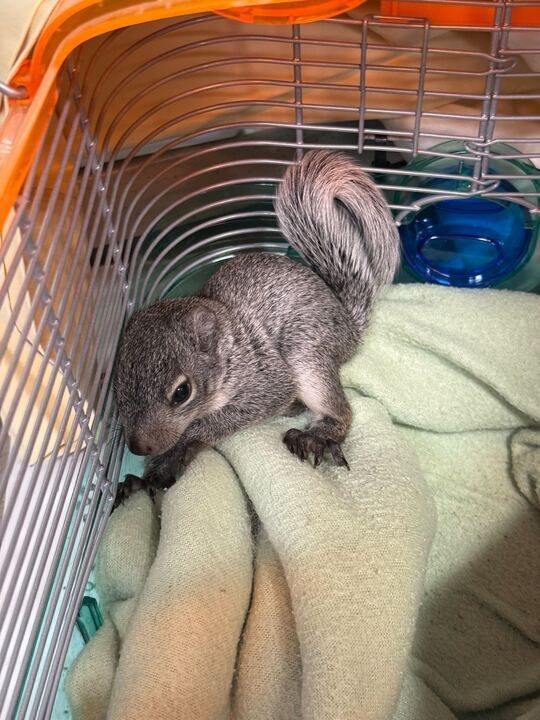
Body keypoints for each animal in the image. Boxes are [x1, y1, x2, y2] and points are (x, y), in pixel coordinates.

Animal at [113, 150, 400, 503]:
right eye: (117, 385)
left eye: (182, 392)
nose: (139, 447)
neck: (227, 344)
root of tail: (348, 324)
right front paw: (143, 479)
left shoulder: (264, 378)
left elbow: (247, 407)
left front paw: (186, 444)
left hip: (307, 349)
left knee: (338, 409)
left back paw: (319, 435)